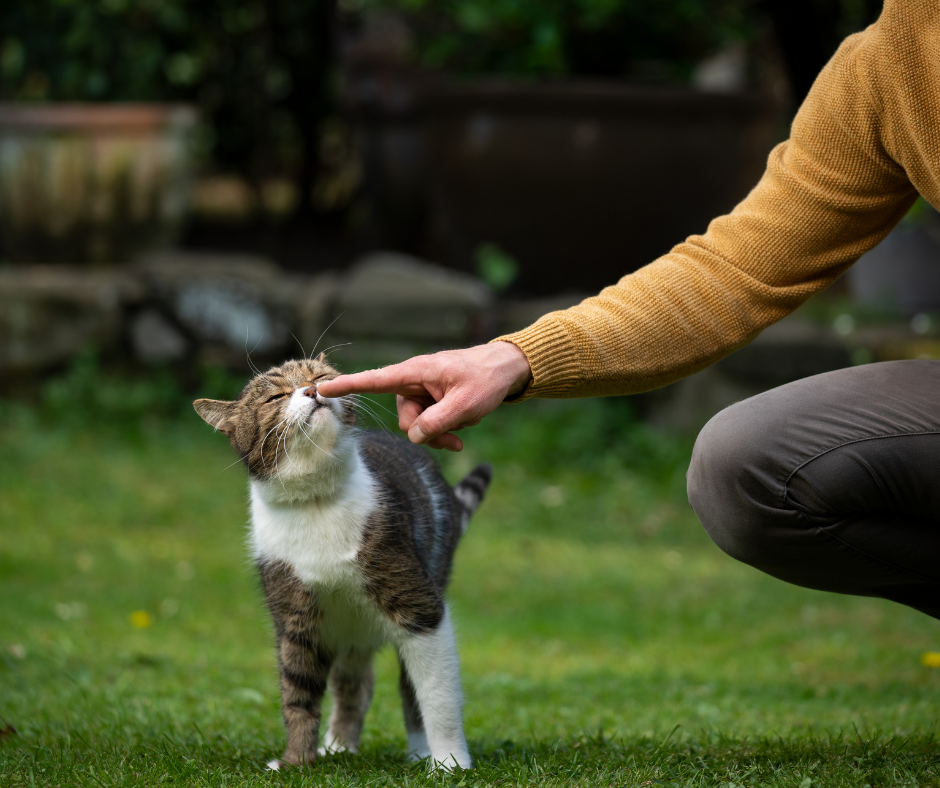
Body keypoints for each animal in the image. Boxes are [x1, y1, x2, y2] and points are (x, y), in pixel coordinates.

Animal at [188, 356, 488, 768]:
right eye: (276, 396)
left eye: (319, 376)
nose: (313, 391)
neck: (316, 501)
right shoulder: (296, 620)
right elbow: (297, 693)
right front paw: (296, 761)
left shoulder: (419, 605)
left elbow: (437, 694)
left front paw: (450, 763)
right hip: (348, 628)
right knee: (354, 682)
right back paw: (340, 746)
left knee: (409, 687)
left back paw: (419, 752)